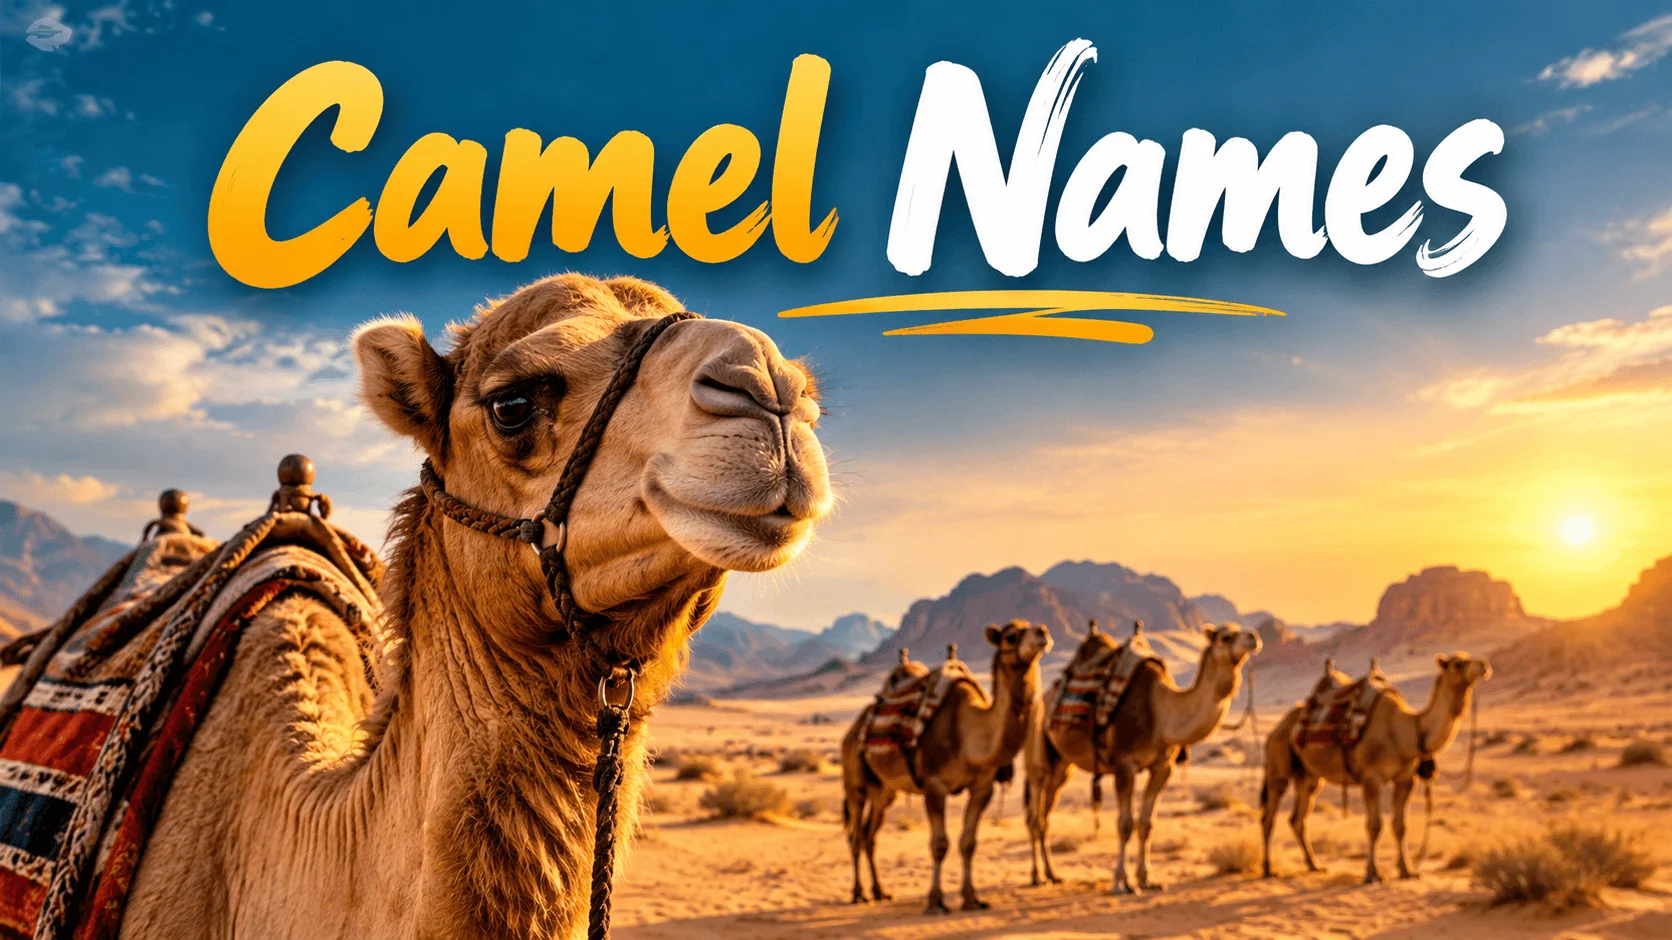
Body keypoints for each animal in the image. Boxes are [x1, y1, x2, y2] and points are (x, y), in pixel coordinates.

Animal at [841, 620, 1053, 914]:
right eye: (1011, 636)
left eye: (1033, 626)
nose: (1042, 633)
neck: (968, 734)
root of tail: (853, 730)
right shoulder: (934, 786)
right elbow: (939, 845)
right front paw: (935, 901)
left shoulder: (982, 786)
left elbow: (968, 843)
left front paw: (972, 898)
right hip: (855, 780)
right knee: (854, 834)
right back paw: (858, 893)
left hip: (884, 790)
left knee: (868, 835)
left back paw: (880, 891)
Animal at [1024, 623, 1262, 893]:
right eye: (1226, 637)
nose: (1253, 637)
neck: (1161, 712)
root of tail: (1044, 697)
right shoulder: (1125, 765)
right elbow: (1125, 824)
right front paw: (1122, 882)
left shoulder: (1162, 767)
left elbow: (1147, 823)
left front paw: (1148, 879)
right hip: (1037, 748)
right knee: (1034, 814)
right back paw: (1037, 877)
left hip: (1062, 765)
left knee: (1045, 814)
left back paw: (1053, 874)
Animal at [1259, 652, 1491, 883]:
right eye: (1458, 663)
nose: (1484, 665)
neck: (1408, 731)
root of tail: (1278, 728)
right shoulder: (1371, 778)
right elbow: (1374, 825)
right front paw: (1373, 873)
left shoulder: (1406, 779)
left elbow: (1400, 825)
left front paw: (1407, 870)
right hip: (1278, 759)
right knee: (1269, 813)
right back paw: (1269, 869)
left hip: (1308, 776)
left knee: (1298, 818)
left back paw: (1314, 865)